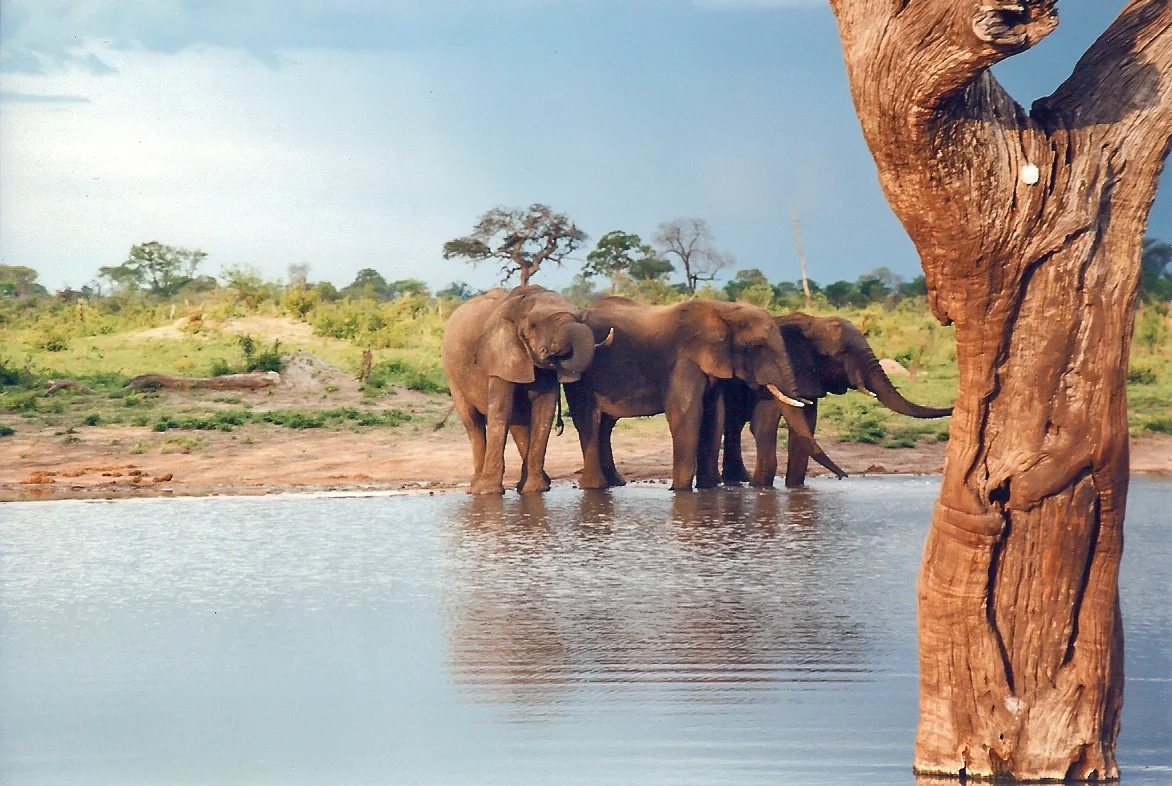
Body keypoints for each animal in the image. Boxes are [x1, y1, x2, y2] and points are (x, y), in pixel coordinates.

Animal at [441, 286, 612, 495]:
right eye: (534, 325)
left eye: (580, 318)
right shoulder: (499, 356)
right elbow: (500, 412)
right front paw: (489, 492)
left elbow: (544, 410)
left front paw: (535, 490)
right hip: (452, 374)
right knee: (474, 423)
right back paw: (475, 487)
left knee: (518, 422)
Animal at [563, 297, 846, 491]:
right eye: (758, 347)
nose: (844, 477)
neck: (723, 310)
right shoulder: (685, 360)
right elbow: (686, 413)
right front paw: (679, 491)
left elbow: (714, 415)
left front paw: (708, 489)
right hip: (580, 374)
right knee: (589, 421)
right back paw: (594, 487)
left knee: (605, 426)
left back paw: (614, 484)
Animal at [717, 312, 953, 488]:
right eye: (842, 353)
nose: (843, 476)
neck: (812, 322)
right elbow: (768, 422)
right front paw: (762, 488)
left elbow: (806, 426)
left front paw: (795, 489)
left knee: (734, 426)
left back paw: (737, 482)